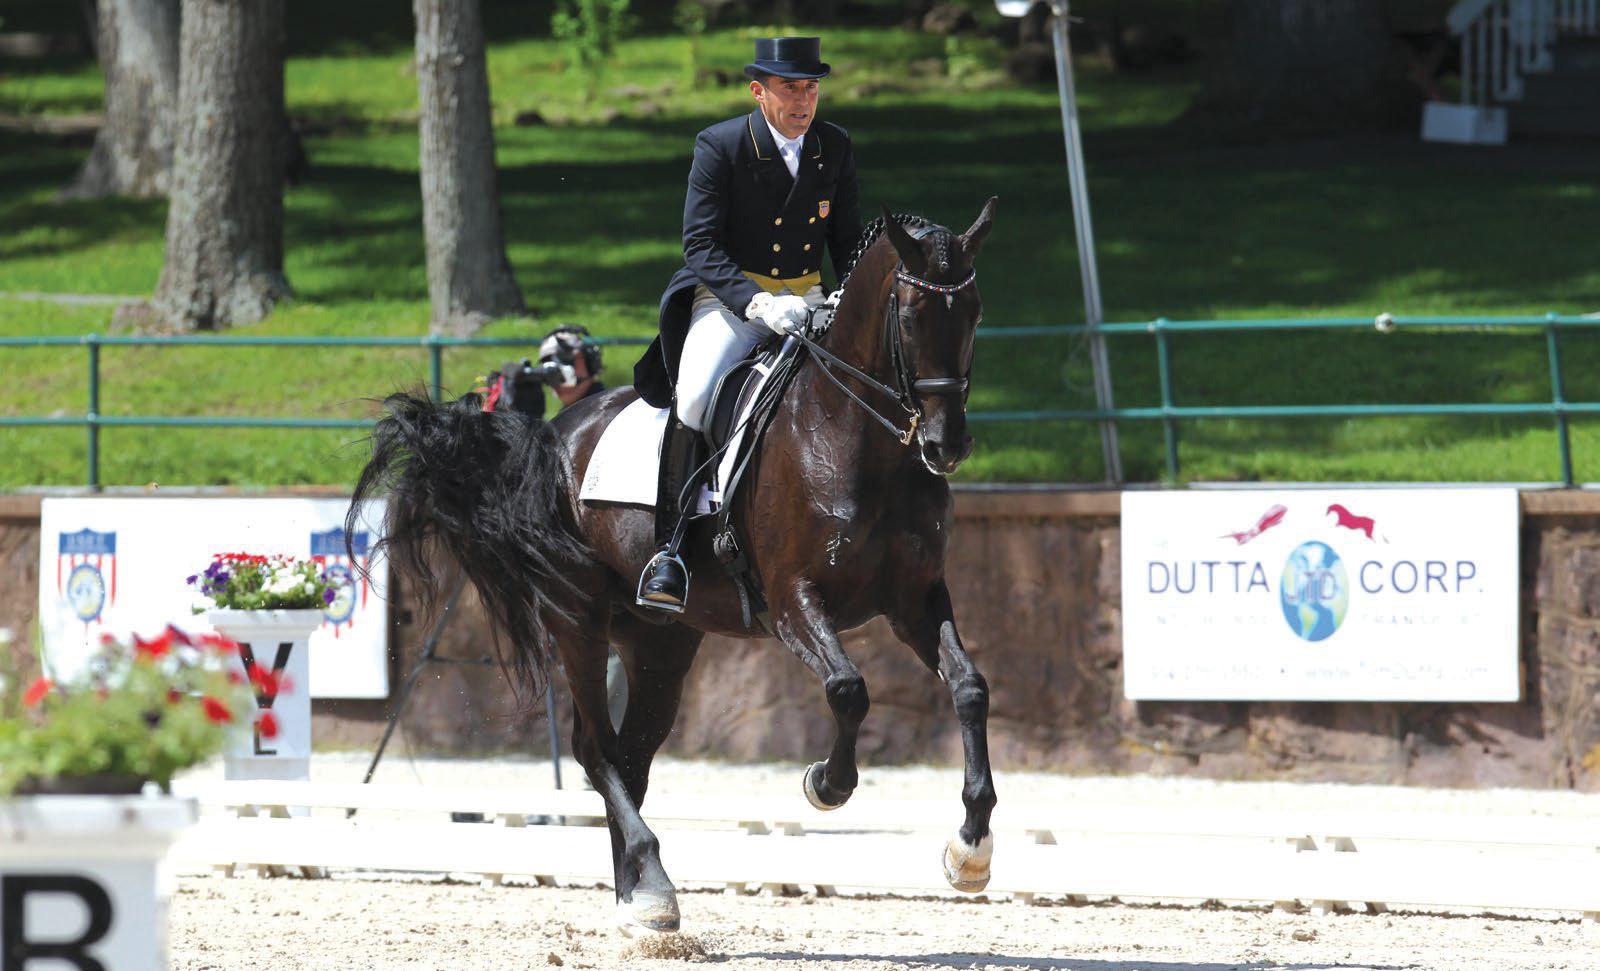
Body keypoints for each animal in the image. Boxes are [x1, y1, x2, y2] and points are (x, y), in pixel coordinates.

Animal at [348, 197, 999, 933]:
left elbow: (970, 687)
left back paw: (639, 896)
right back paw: (651, 884)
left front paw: (970, 848)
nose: (947, 444)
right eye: (912, 316)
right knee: (594, 748)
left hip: (660, 641)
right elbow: (847, 689)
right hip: (576, 616)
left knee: (629, 756)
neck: (857, 436)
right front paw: (825, 784)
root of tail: (552, 435)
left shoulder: (915, 598)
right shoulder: (793, 599)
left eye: (974, 312)